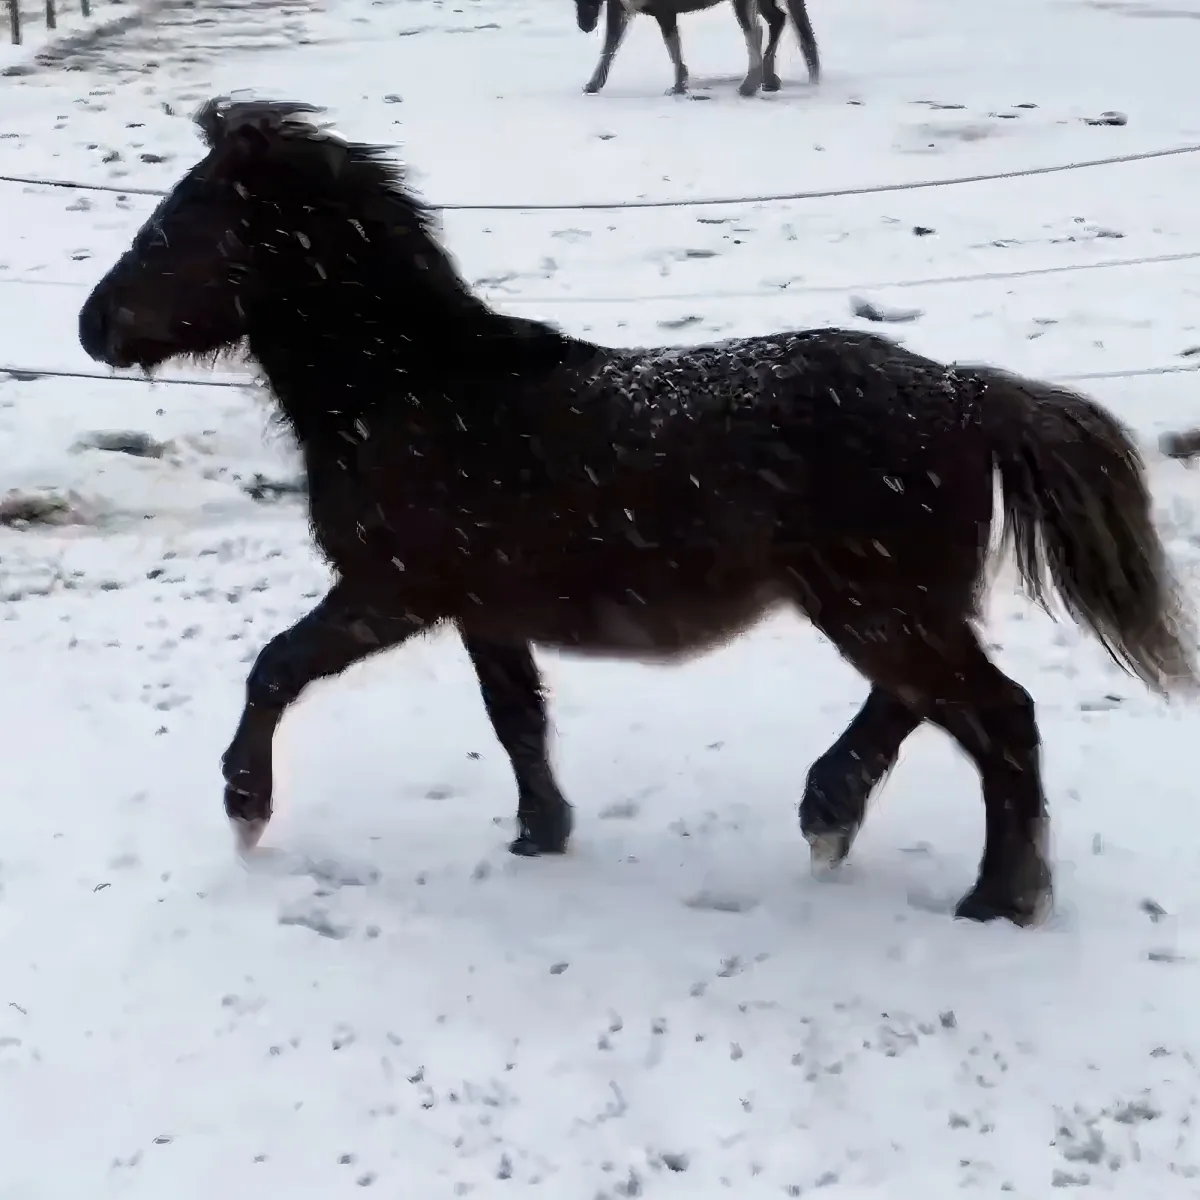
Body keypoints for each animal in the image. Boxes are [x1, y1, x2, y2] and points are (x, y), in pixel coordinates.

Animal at [78, 98, 1196, 928]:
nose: (93, 326)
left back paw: (994, 898)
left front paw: (244, 809)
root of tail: (965, 391)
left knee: (997, 715)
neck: (415, 390)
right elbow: (518, 720)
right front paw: (541, 835)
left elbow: (275, 669)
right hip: (892, 607)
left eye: (177, 224)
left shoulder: (392, 591)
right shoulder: (482, 608)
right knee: (925, 703)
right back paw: (831, 814)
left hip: (881, 605)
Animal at [575, 0, 820, 97]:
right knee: (778, 20)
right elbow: (609, 47)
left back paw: (750, 84)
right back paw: (768, 79)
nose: (585, 25)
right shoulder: (619, 9)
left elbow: (673, 47)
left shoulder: (664, 12)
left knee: (757, 30)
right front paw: (593, 85)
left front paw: (678, 86)